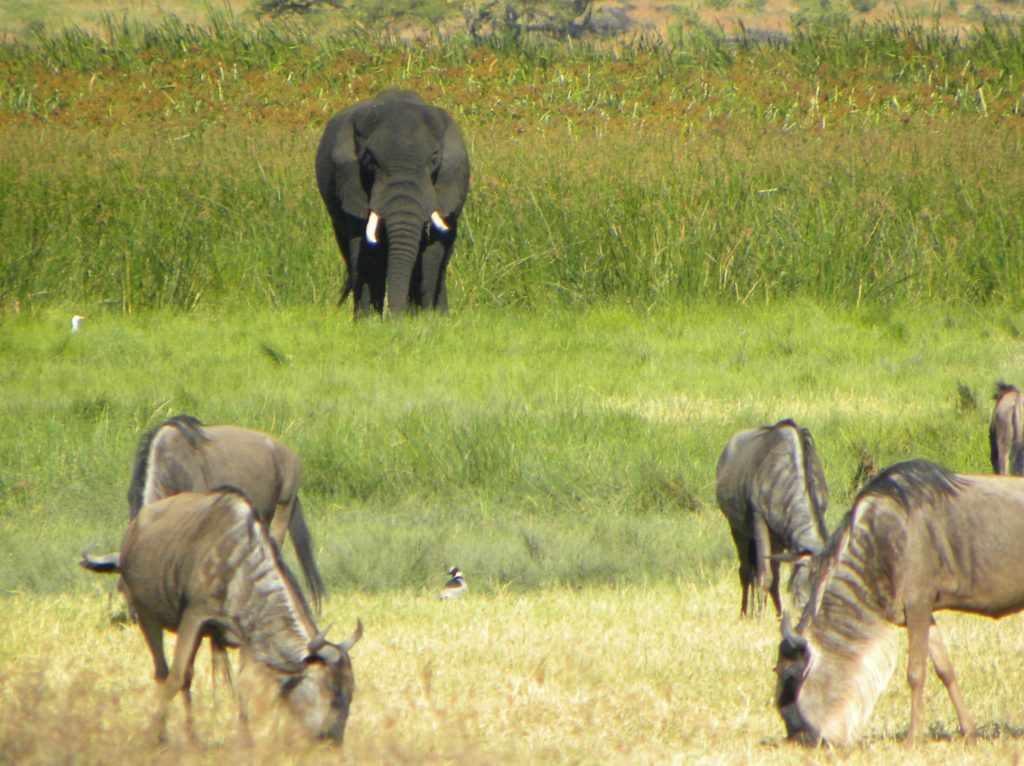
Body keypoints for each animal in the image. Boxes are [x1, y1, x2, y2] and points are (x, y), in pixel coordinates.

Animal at [315, 89, 471, 317]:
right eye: (369, 160)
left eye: (434, 159)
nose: (396, 318)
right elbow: (364, 248)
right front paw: (368, 320)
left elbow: (432, 251)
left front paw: (428, 318)